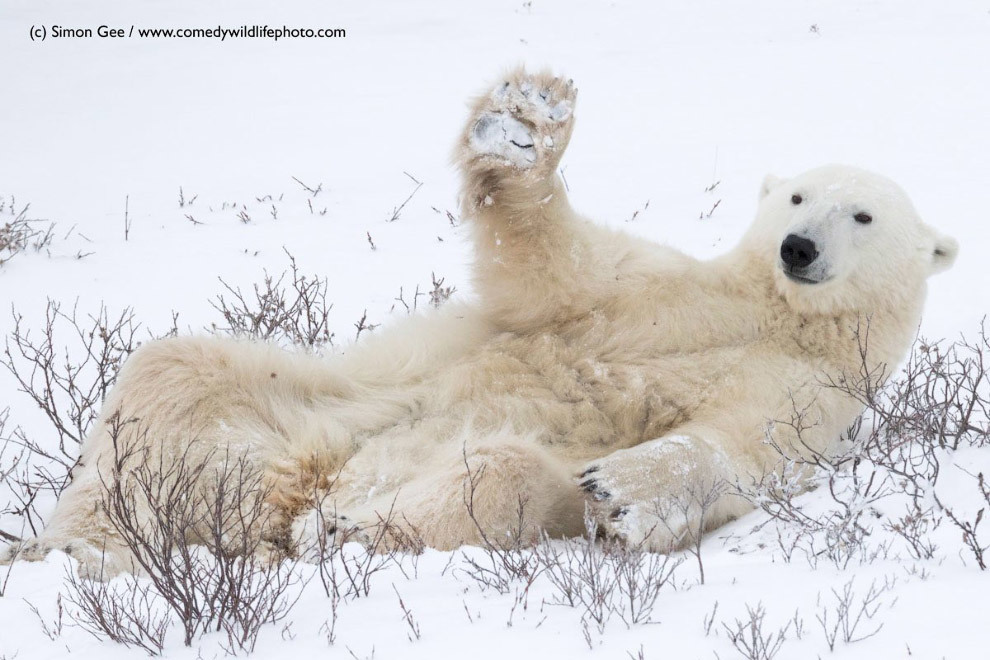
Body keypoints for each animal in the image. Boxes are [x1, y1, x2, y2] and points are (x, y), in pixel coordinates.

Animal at [1, 67, 960, 572]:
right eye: (797, 196)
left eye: (862, 214)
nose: (797, 248)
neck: (771, 312)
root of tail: (284, 491)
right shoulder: (657, 294)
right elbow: (552, 273)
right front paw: (527, 118)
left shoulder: (814, 392)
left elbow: (738, 449)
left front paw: (621, 487)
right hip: (310, 403)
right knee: (170, 376)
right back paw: (83, 544)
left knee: (504, 477)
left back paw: (338, 526)